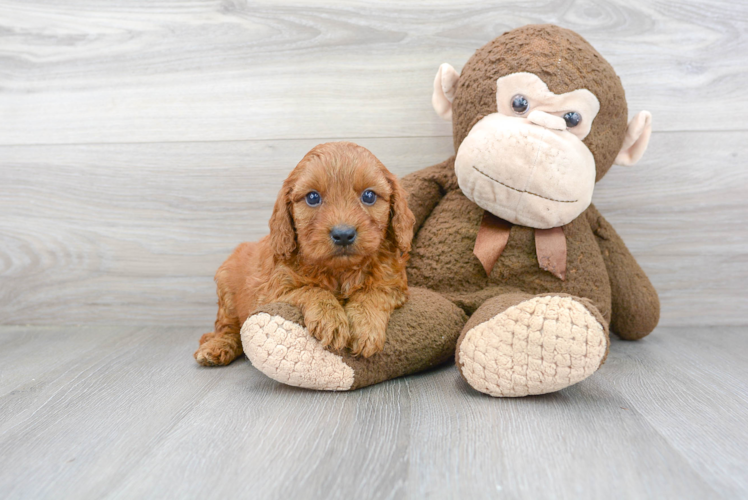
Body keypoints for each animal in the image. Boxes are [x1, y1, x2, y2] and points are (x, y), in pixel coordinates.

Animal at [193, 143, 414, 366]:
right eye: (312, 197)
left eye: (369, 196)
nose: (343, 234)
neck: (340, 271)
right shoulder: (273, 293)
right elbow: (310, 290)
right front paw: (330, 319)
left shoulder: (393, 283)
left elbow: (374, 293)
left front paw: (366, 327)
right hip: (227, 292)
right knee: (228, 327)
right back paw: (217, 347)